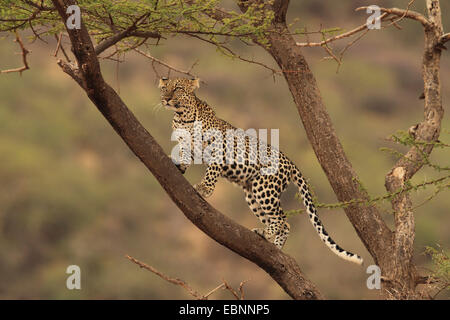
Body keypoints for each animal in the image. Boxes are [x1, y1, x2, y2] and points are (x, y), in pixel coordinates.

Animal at [158, 77, 362, 264]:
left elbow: (212, 172)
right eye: (164, 88)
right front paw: (178, 165)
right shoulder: (186, 146)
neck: (182, 117)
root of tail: (290, 162)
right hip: (253, 194)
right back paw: (272, 243)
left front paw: (204, 189)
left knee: (282, 219)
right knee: (283, 224)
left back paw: (268, 235)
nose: (166, 98)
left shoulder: (220, 148)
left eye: (177, 88)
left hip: (264, 188)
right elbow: (184, 156)